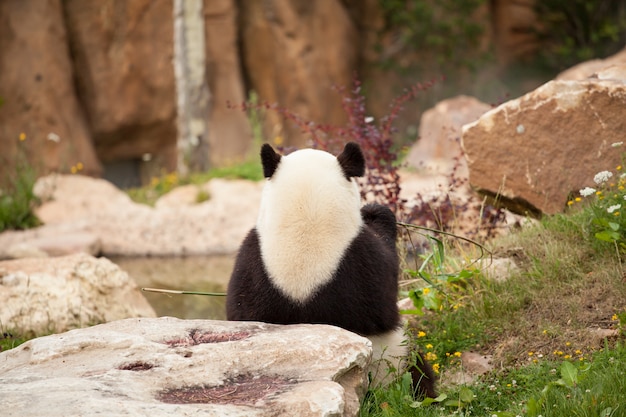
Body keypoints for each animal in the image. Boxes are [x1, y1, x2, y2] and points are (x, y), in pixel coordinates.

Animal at [224, 142, 434, 396]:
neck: (303, 230)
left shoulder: (249, 262)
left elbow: (238, 312)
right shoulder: (366, 264)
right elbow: (385, 307)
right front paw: (376, 212)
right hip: (396, 359)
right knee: (417, 371)